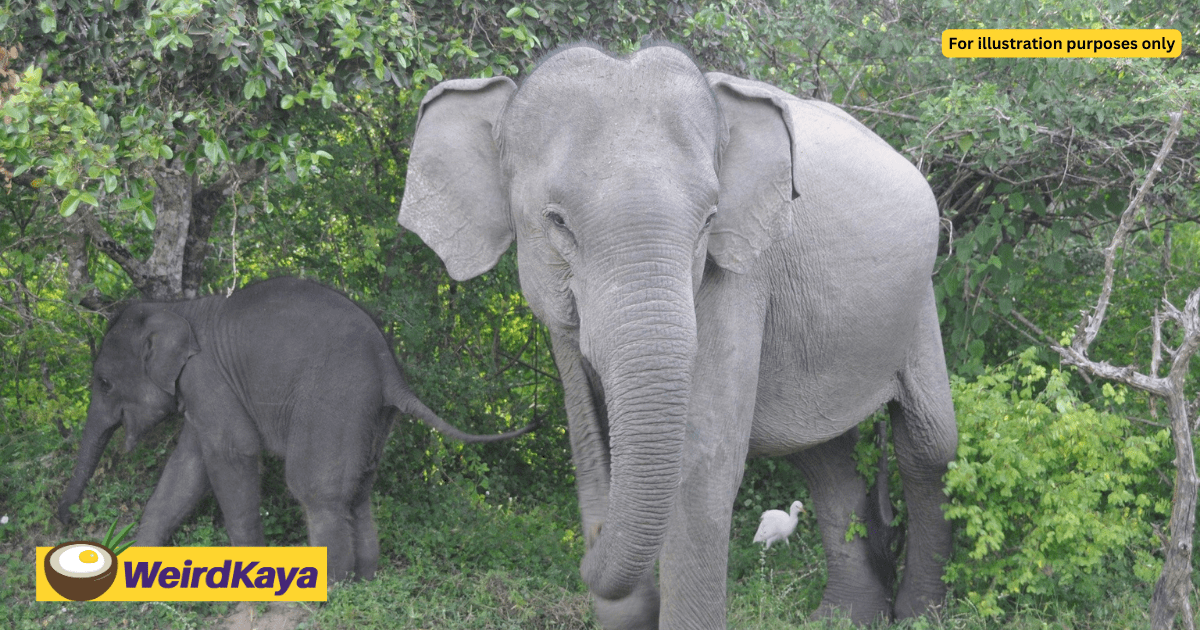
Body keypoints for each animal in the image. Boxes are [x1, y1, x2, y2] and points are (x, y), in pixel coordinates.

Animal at [57, 276, 536, 582]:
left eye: (104, 383)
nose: (63, 520)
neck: (177, 309)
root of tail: (390, 370)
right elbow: (188, 466)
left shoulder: (205, 376)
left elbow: (234, 451)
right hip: (372, 414)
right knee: (357, 493)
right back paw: (364, 583)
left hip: (336, 399)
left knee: (314, 489)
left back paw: (327, 595)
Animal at [397, 43, 957, 627]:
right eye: (556, 222)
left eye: (709, 218)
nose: (590, 543)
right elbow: (589, 438)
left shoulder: (739, 272)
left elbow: (702, 463)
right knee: (823, 458)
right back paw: (845, 617)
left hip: (920, 297)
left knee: (928, 444)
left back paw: (918, 614)